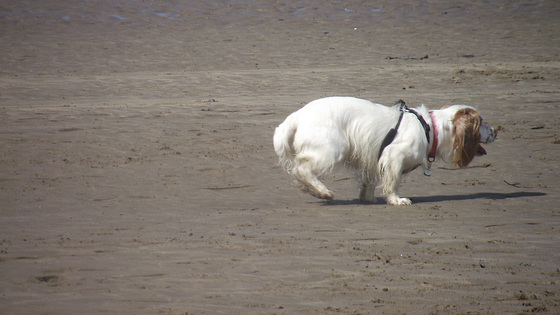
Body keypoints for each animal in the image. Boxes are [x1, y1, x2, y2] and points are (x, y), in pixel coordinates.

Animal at [274, 96, 496, 206]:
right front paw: (396, 200)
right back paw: (321, 191)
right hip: (332, 150)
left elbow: (369, 181)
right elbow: (393, 182)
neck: (430, 128)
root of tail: (295, 117)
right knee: (301, 169)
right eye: (482, 122)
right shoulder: (394, 156)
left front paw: (368, 198)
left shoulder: (372, 157)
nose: (496, 131)